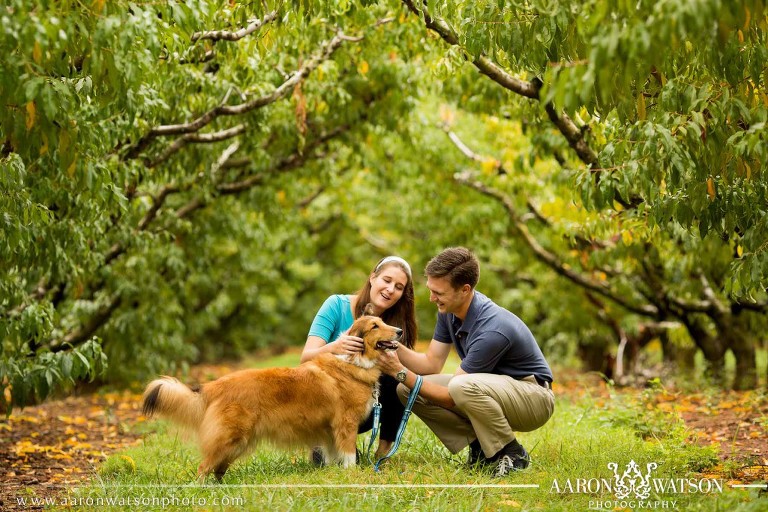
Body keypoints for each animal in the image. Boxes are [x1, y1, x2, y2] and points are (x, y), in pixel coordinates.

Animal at [141, 308, 402, 480]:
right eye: (375, 326)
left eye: (382, 321)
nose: (399, 331)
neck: (353, 360)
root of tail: (215, 385)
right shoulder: (345, 424)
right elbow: (347, 455)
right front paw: (352, 473)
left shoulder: (329, 431)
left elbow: (331, 455)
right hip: (229, 438)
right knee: (204, 467)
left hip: (236, 444)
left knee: (217, 468)